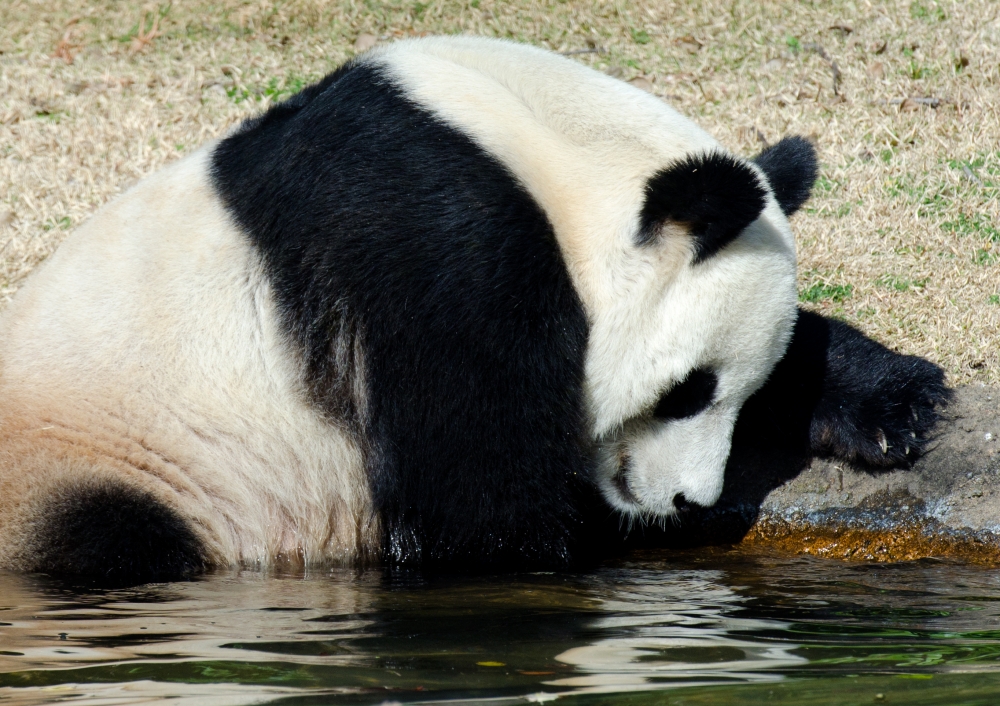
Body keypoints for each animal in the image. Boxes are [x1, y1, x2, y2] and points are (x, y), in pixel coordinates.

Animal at [0, 34, 944, 584]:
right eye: (687, 391)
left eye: (737, 394)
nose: (689, 502)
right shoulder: (439, 251)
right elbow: (474, 505)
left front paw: (894, 404)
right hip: (101, 455)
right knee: (115, 542)